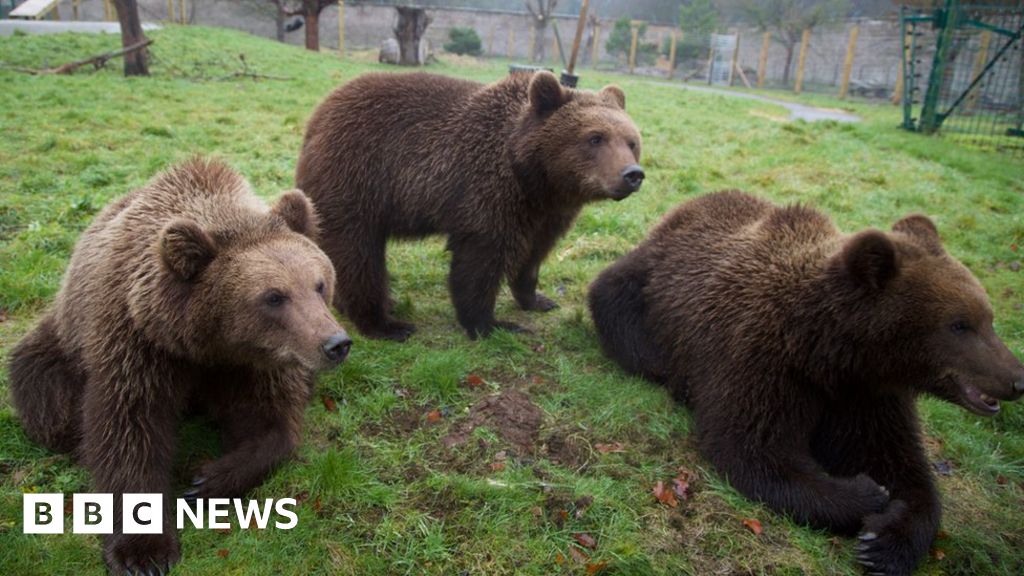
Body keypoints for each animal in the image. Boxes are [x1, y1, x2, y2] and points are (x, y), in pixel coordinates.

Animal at [6, 157, 352, 573]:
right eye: (273, 296)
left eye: (319, 283)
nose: (335, 343)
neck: (207, 343)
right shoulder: (139, 343)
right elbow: (129, 428)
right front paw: (144, 551)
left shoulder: (257, 363)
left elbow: (272, 424)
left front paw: (208, 480)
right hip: (62, 341)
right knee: (47, 398)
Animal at [294, 71, 638, 340]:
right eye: (595, 137)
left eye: (632, 141)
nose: (632, 174)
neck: (535, 178)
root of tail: (316, 118)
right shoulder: (487, 192)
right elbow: (480, 260)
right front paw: (492, 324)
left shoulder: (547, 213)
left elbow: (533, 255)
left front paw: (537, 299)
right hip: (357, 179)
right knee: (358, 253)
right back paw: (385, 322)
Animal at [585, 190, 1024, 569]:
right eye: (959, 325)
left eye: (987, 317)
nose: (1016, 378)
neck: (826, 352)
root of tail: (678, 211)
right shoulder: (762, 362)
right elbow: (754, 449)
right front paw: (867, 494)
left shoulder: (865, 395)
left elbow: (904, 467)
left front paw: (885, 542)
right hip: (639, 292)